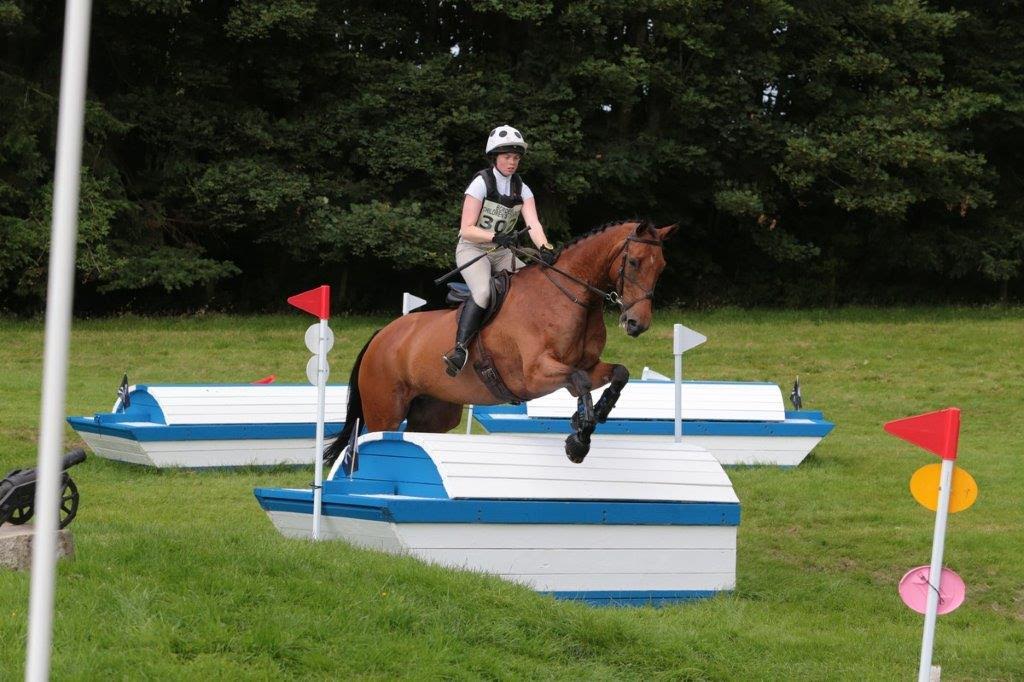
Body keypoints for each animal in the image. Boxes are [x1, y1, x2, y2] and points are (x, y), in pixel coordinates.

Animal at [324, 218, 678, 466]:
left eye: (662, 267)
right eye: (634, 262)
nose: (637, 324)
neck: (572, 297)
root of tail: (381, 335)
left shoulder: (587, 366)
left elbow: (618, 373)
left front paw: (593, 416)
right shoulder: (535, 375)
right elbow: (578, 381)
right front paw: (578, 441)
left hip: (435, 414)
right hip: (384, 411)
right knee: (370, 437)